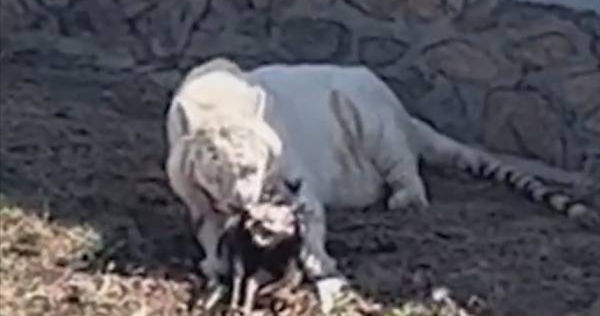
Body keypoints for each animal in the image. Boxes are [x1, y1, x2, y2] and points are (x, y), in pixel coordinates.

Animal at [162, 57, 596, 314]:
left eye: (256, 164)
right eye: (221, 168)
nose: (246, 202)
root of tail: (405, 114)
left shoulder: (295, 184)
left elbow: (309, 224)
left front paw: (320, 264)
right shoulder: (198, 201)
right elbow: (210, 235)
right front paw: (215, 263)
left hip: (374, 121)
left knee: (406, 168)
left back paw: (404, 198)